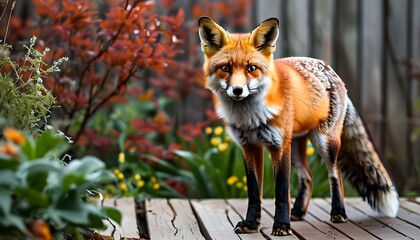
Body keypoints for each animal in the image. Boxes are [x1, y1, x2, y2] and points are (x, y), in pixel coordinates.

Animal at [199, 16, 398, 236]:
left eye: (251, 68)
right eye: (225, 68)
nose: (237, 90)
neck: (250, 117)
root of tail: (330, 69)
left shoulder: (278, 146)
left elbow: (281, 189)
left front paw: (281, 225)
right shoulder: (249, 147)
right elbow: (254, 192)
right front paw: (251, 224)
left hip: (324, 143)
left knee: (335, 174)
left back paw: (338, 212)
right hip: (295, 147)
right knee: (308, 177)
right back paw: (298, 212)